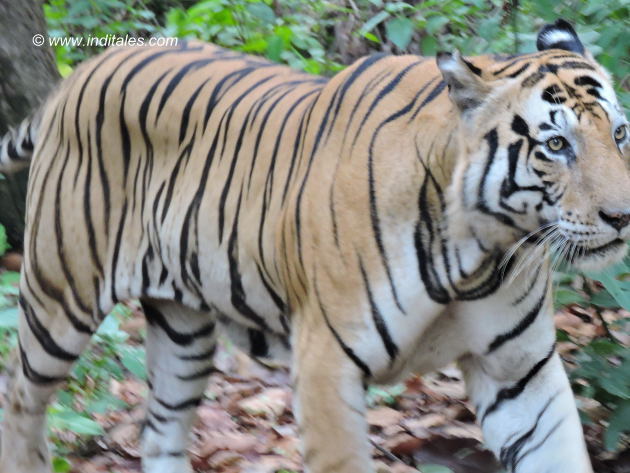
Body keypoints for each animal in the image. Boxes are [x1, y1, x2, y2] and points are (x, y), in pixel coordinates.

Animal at [0, 16, 628, 470]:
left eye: (619, 133)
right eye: (555, 145)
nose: (623, 216)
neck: (481, 252)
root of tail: (84, 69)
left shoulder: (520, 373)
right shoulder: (327, 364)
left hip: (182, 329)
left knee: (159, 434)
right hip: (59, 295)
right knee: (21, 400)